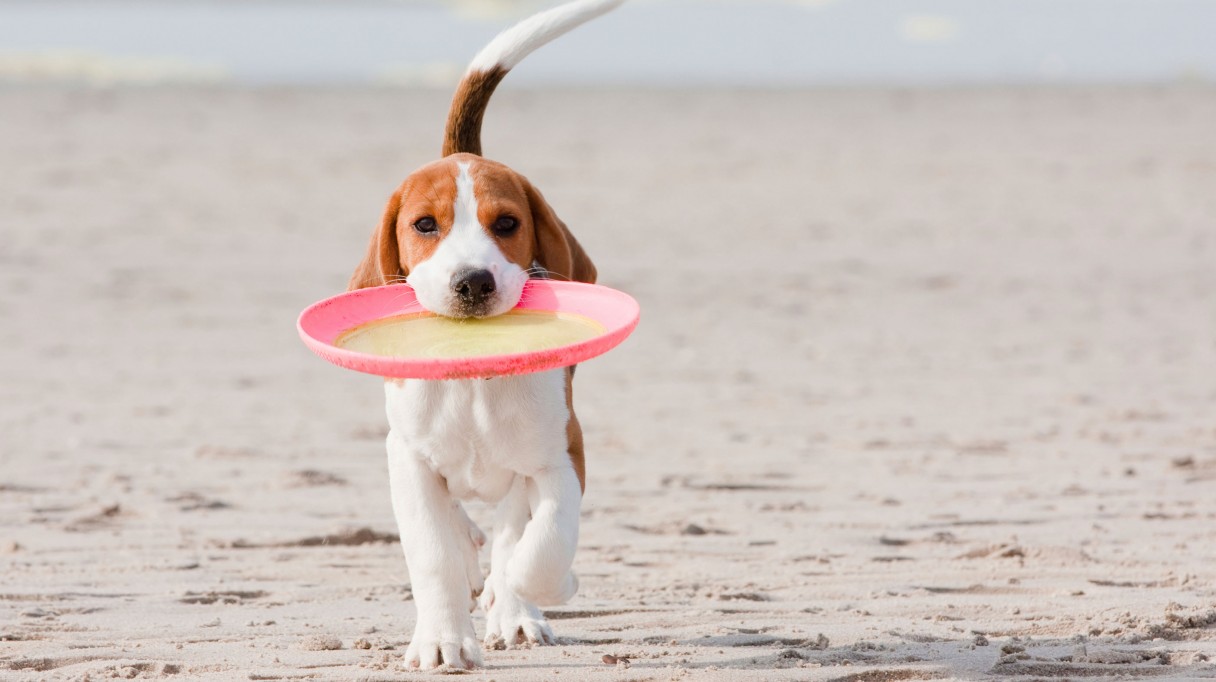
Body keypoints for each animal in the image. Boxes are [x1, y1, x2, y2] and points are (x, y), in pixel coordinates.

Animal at [345, 0, 622, 671]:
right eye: (425, 225)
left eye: (508, 224)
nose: (472, 281)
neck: (474, 380)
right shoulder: (406, 458)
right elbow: (432, 555)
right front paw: (443, 638)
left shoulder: (561, 454)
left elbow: (542, 544)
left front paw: (523, 592)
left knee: (513, 528)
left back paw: (512, 605)